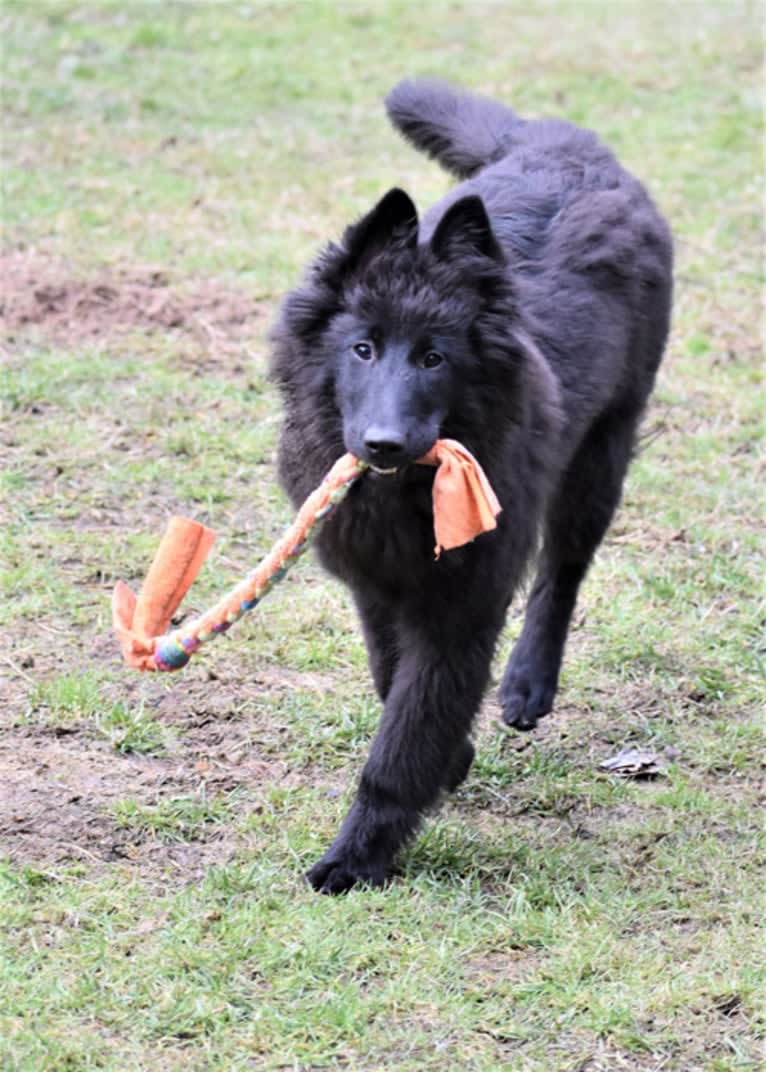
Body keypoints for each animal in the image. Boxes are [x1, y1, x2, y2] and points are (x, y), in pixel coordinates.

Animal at [267, 79, 672, 891]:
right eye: (362, 348)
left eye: (435, 358)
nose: (382, 443)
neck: (404, 494)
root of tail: (560, 142)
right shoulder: (377, 586)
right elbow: (394, 681)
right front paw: (449, 760)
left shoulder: (462, 604)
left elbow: (405, 734)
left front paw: (355, 858)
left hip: (602, 449)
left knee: (562, 571)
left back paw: (527, 683)